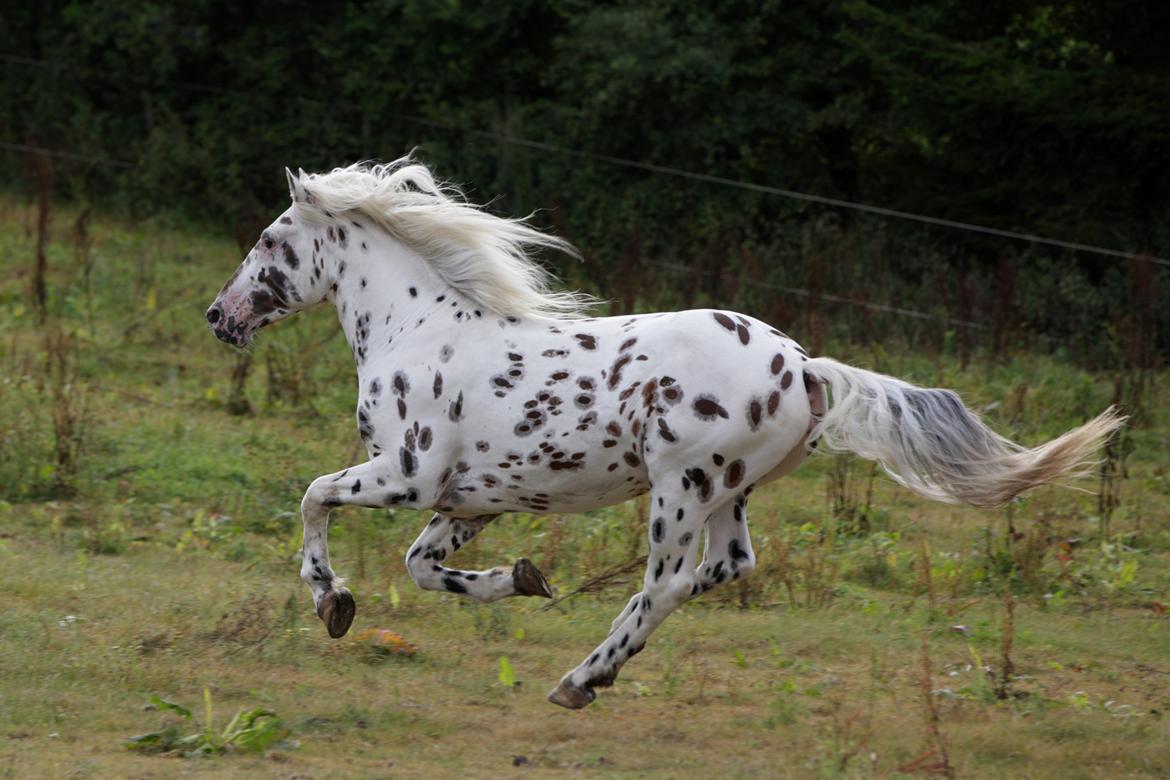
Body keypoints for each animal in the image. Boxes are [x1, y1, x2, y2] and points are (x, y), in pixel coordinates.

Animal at [208, 155, 1123, 711]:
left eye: (268, 240)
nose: (219, 316)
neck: (416, 328)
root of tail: (805, 365)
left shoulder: (407, 473)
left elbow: (314, 499)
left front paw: (332, 601)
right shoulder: (474, 499)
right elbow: (424, 568)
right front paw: (523, 579)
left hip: (676, 487)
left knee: (668, 584)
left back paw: (583, 677)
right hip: (727, 494)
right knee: (727, 567)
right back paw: (591, 665)